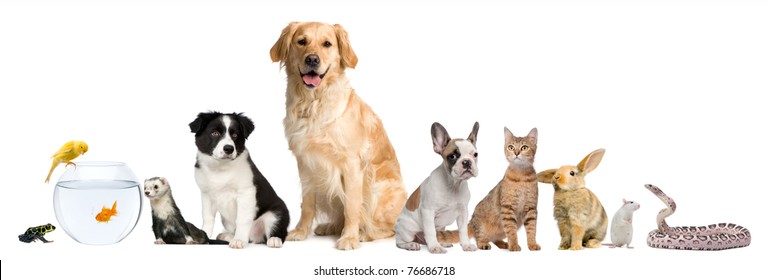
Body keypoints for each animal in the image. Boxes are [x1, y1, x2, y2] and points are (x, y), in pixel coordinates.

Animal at [190, 110, 292, 248]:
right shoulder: (206, 194)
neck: (220, 168)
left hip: (276, 213)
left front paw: (239, 240)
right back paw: (228, 236)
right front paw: (203, 235)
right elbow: (208, 217)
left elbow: (242, 219)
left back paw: (274, 240)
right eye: (214, 133)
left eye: (235, 135)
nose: (229, 148)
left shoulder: (246, 192)